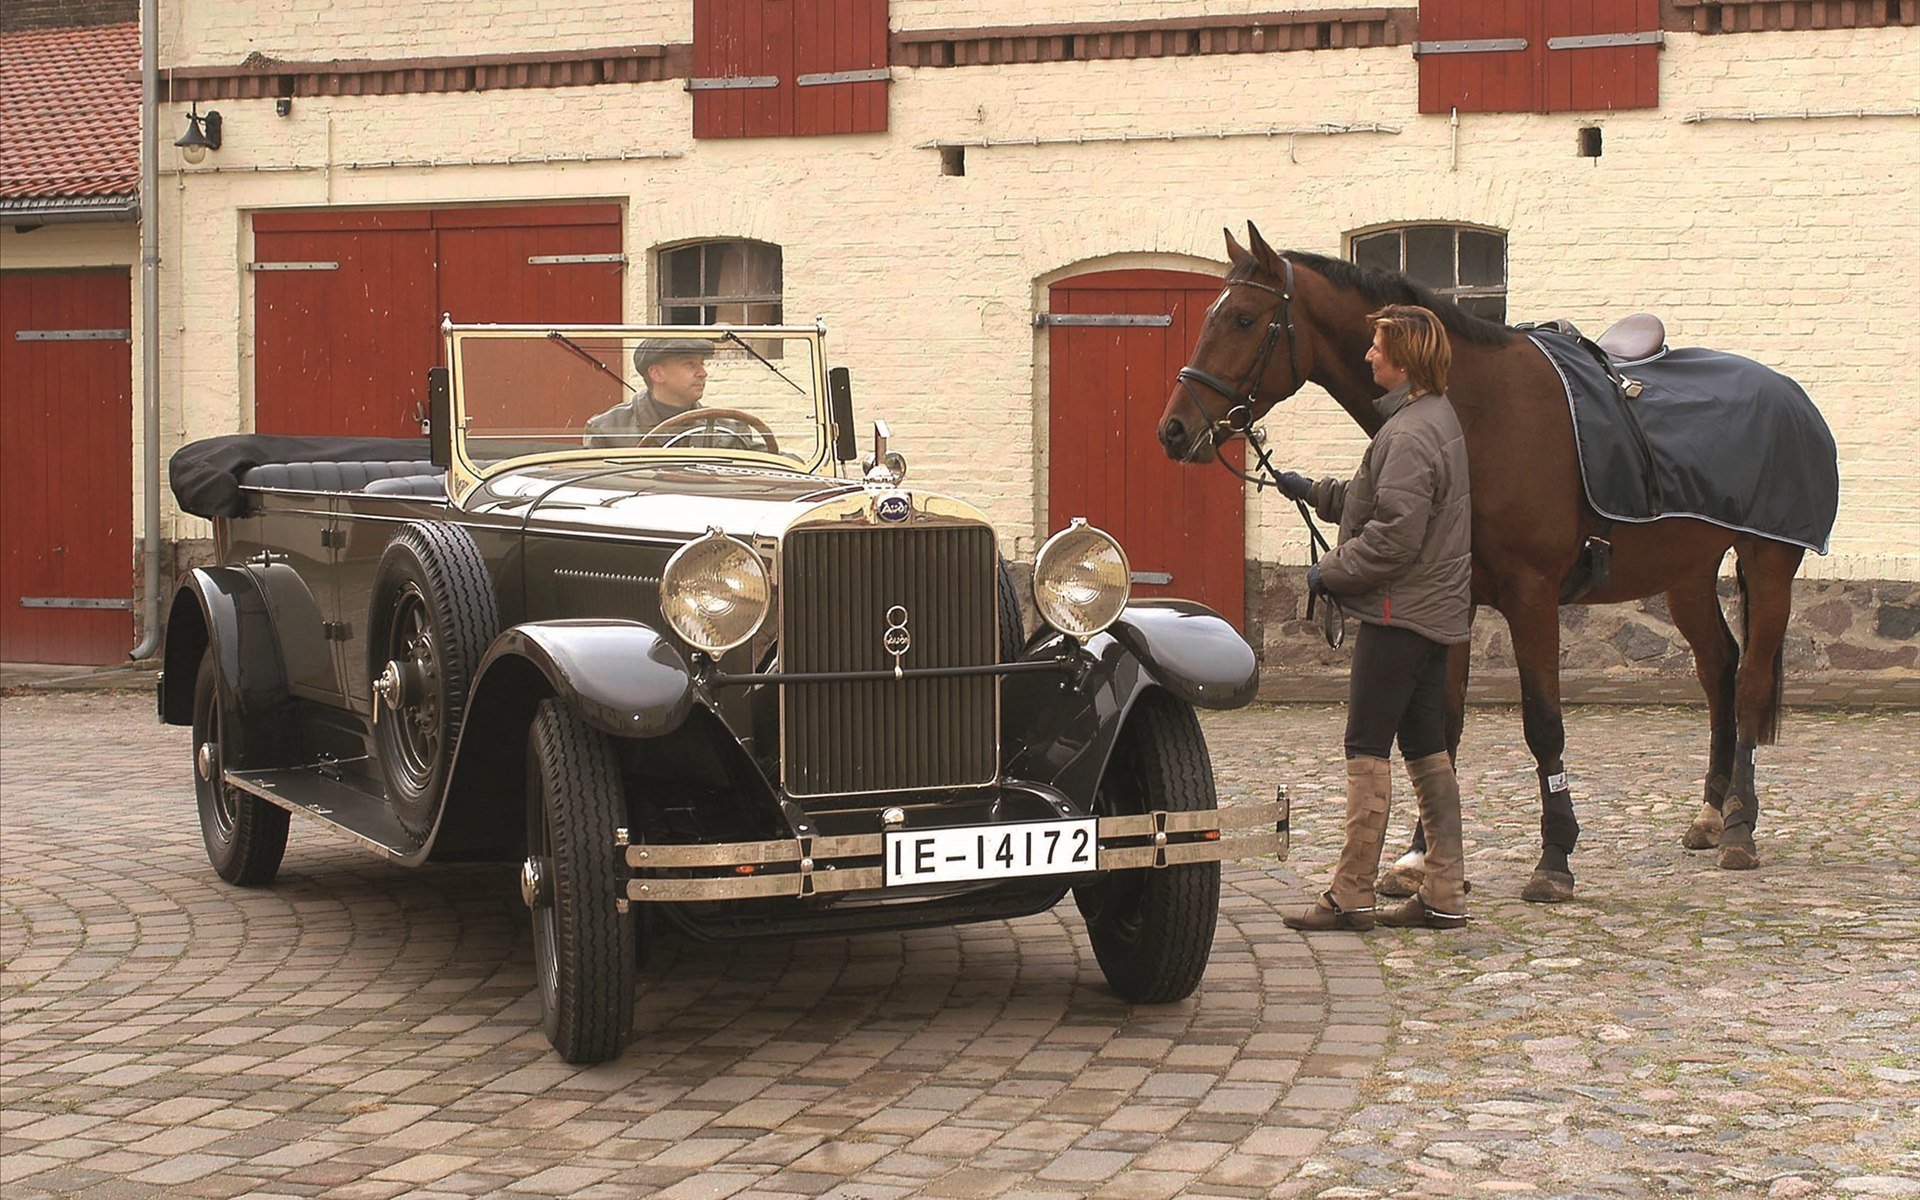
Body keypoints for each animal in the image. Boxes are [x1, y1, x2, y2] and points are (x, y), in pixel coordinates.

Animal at [1152, 222, 1812, 898]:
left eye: (1243, 318)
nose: (1173, 430)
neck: (1476, 412)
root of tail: (1789, 392)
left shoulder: (1532, 595)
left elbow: (1543, 724)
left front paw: (1554, 859)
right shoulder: (1454, 595)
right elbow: (1439, 724)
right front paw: (1420, 857)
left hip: (1768, 563)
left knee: (1749, 684)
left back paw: (1739, 829)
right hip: (1687, 575)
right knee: (1718, 670)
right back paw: (1710, 815)